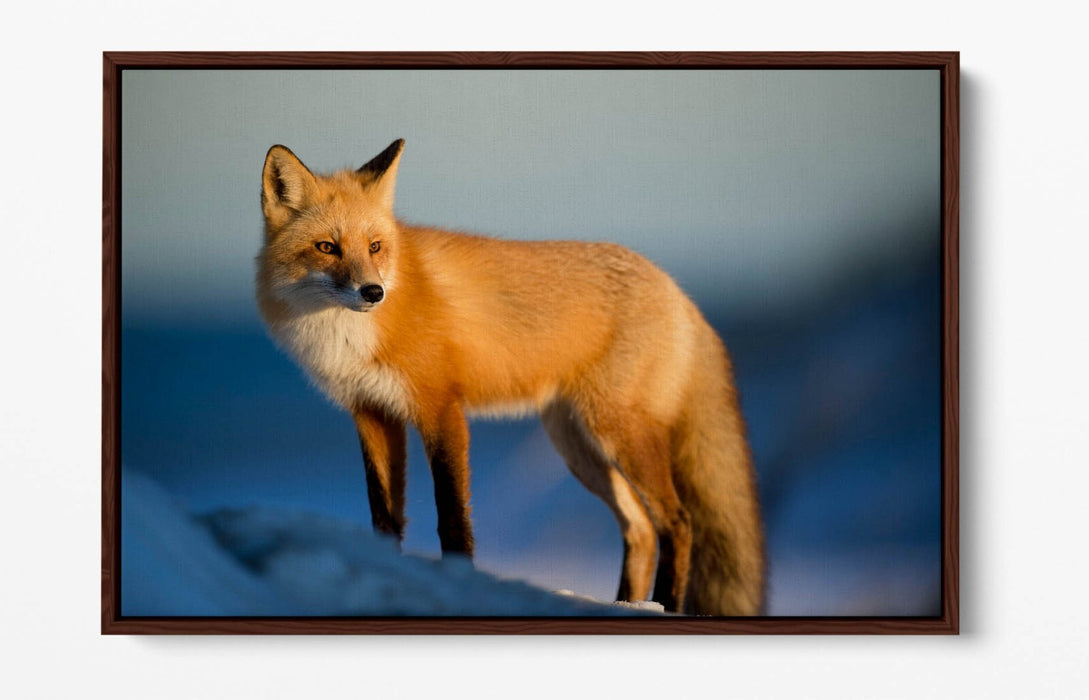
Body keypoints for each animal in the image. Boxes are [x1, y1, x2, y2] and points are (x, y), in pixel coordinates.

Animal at [256, 139, 765, 615]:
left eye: (375, 247)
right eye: (327, 247)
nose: (373, 292)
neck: (349, 336)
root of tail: (678, 291)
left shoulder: (441, 408)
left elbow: (452, 516)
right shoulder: (372, 413)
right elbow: (384, 517)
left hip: (618, 433)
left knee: (677, 522)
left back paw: (664, 605)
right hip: (578, 447)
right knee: (640, 528)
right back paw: (626, 604)